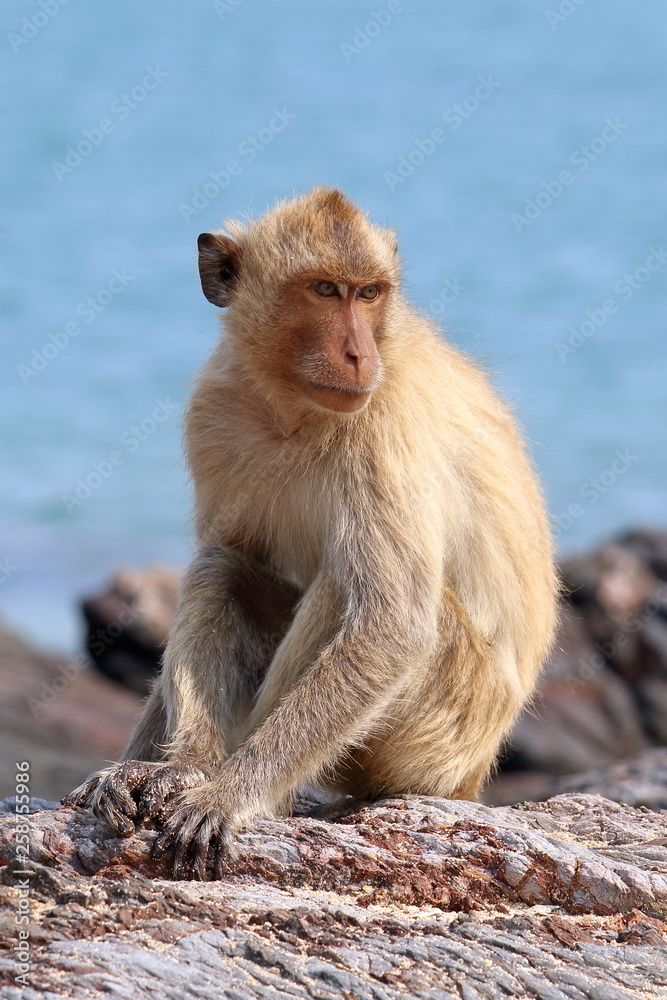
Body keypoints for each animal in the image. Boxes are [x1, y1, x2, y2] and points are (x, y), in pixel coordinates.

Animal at [66, 186, 560, 876]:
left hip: (445, 726)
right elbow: (224, 553)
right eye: (325, 290)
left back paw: (243, 790)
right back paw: (186, 766)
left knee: (344, 593)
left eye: (369, 293)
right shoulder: (214, 411)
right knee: (220, 567)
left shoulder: (383, 424)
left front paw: (227, 794)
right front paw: (141, 769)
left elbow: (392, 625)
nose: (358, 354)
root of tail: (475, 775)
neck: (292, 409)